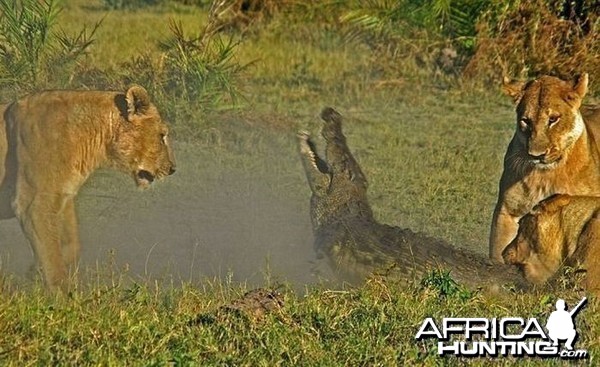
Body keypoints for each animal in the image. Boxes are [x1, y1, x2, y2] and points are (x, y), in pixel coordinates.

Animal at [0, 85, 177, 292]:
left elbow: (70, 246)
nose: (173, 169)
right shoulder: (33, 204)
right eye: (162, 136)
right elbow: (53, 260)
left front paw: (34, 273)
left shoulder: (64, 197)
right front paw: (62, 296)